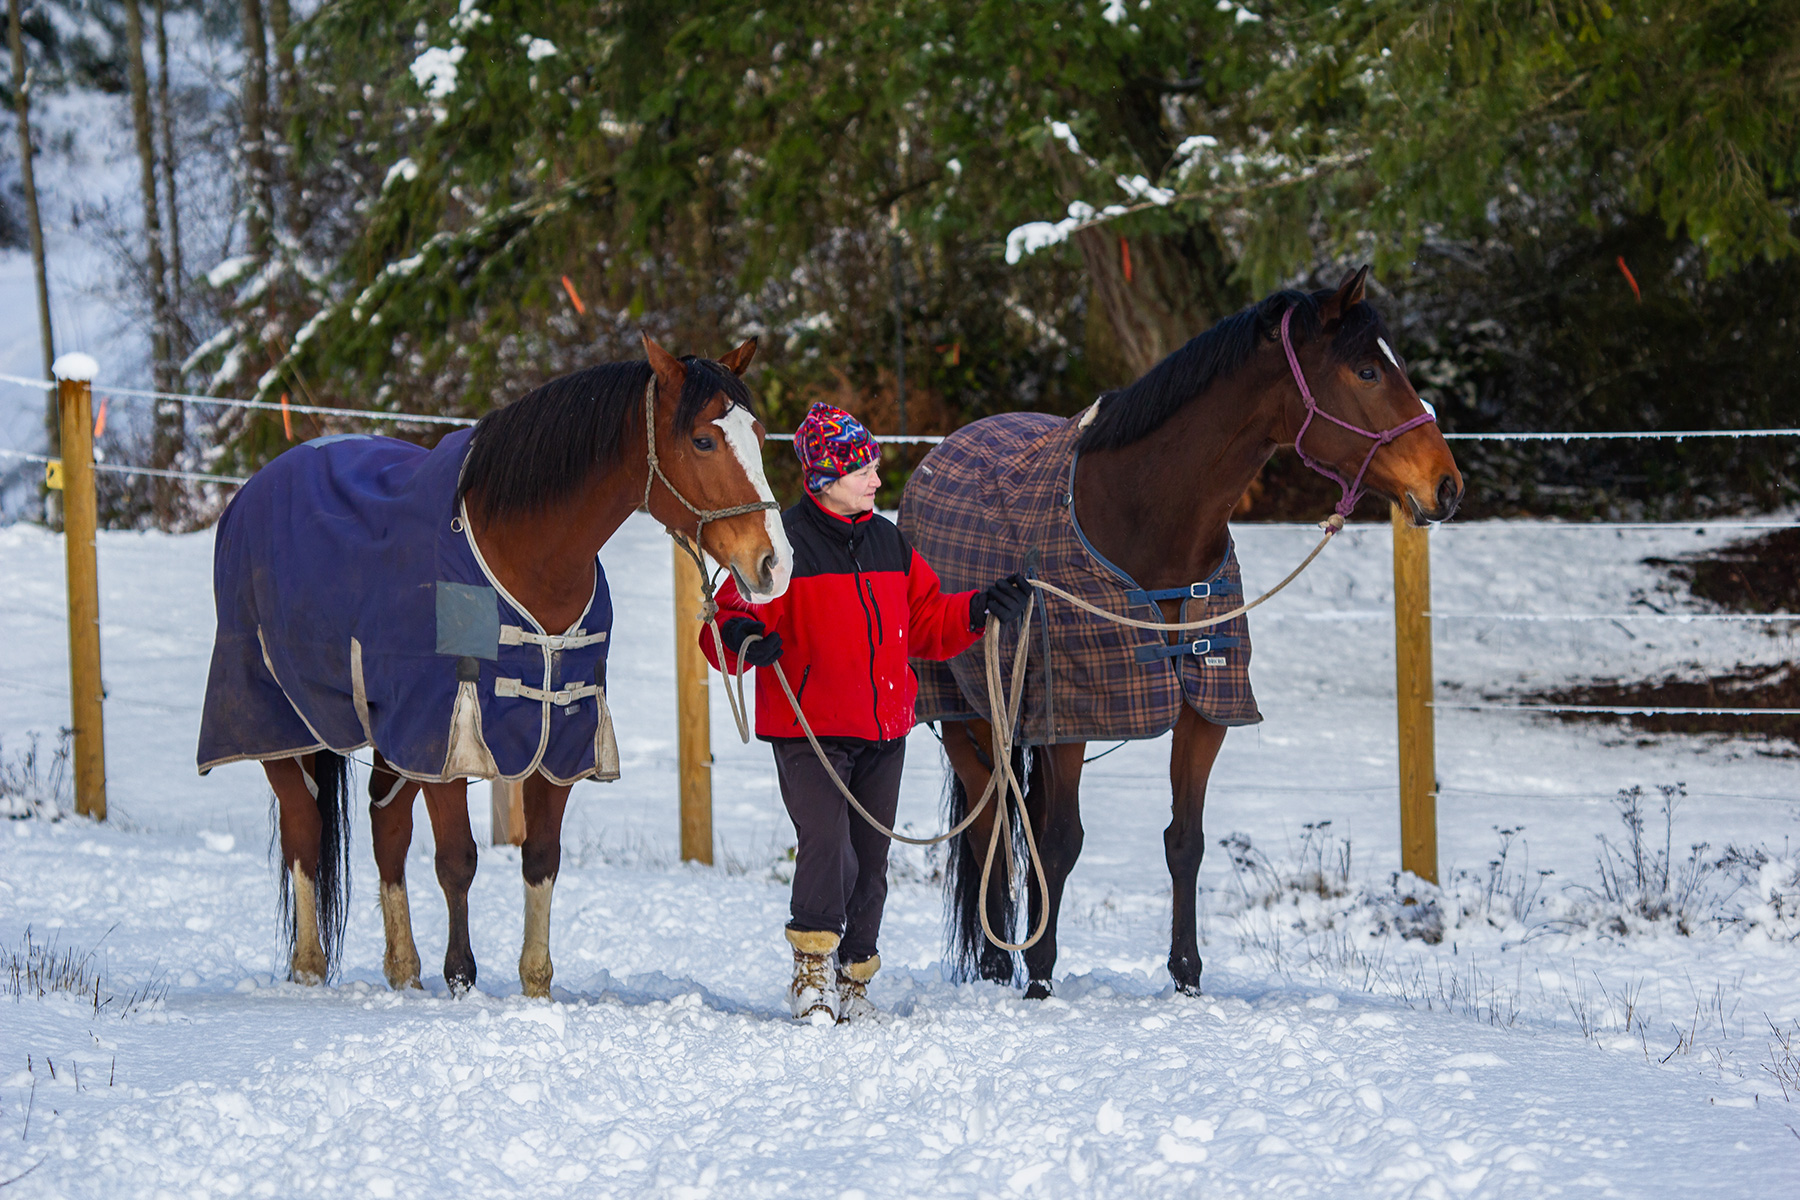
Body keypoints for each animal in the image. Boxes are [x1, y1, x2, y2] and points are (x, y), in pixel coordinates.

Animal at [900, 268, 1461, 1000]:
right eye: (1367, 370)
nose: (1446, 486)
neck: (1144, 518)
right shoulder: (1076, 714)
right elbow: (1060, 842)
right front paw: (1040, 978)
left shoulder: (1204, 709)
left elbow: (1184, 841)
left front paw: (1187, 978)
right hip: (964, 710)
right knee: (989, 820)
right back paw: (999, 964)